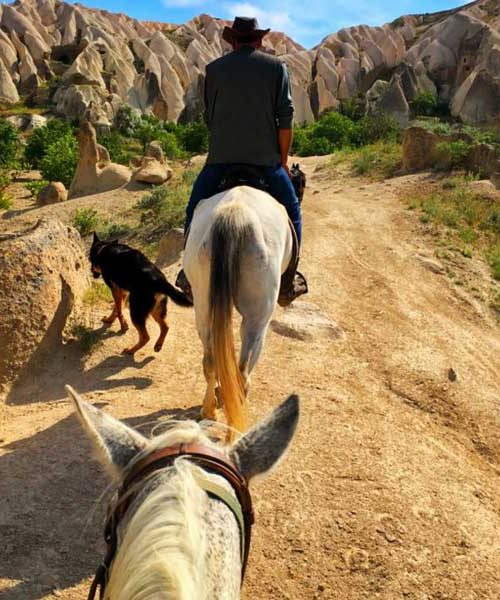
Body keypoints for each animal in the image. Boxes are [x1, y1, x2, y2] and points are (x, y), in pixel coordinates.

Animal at [184, 185, 292, 434]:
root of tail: (236, 213)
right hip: (259, 316)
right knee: (243, 369)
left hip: (202, 305)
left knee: (210, 360)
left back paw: (210, 408)